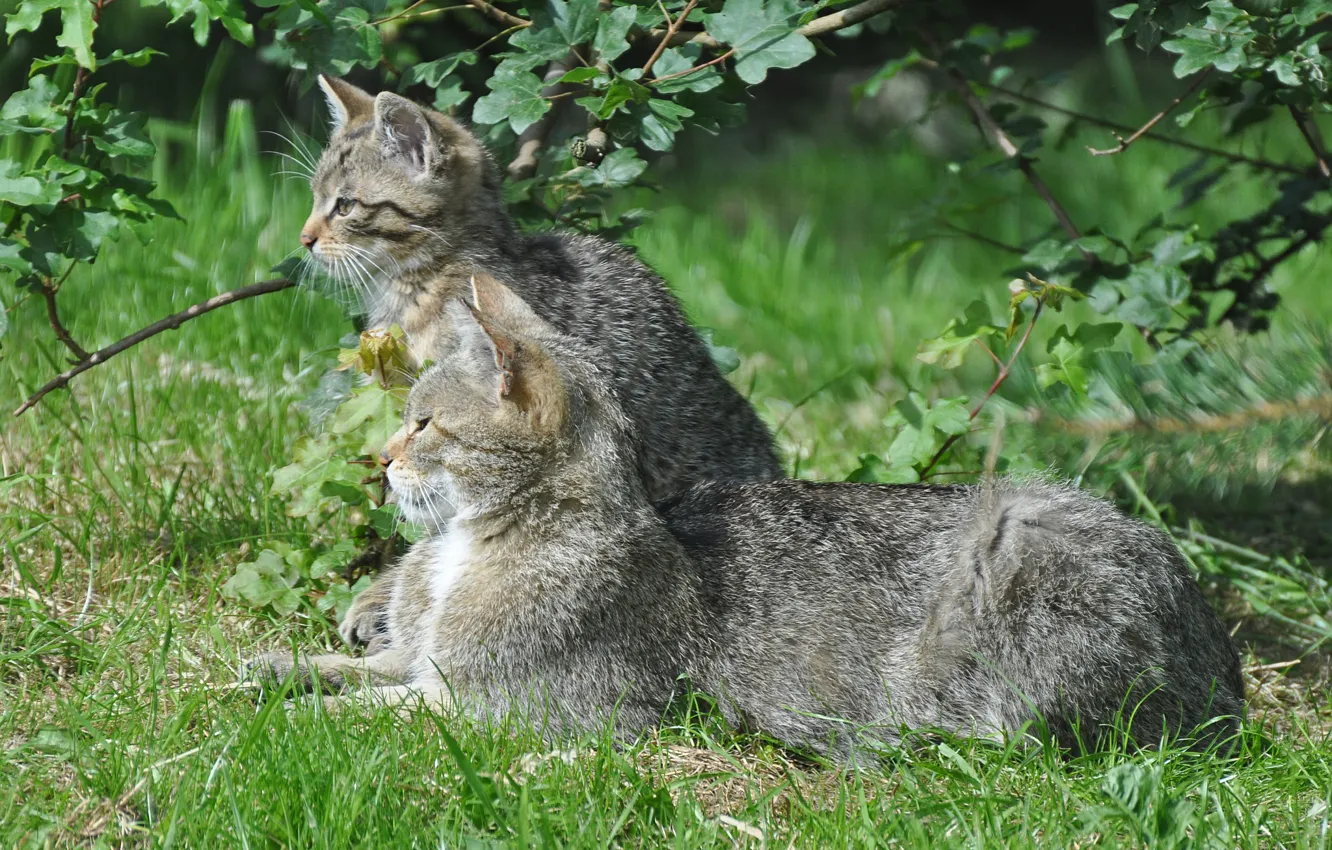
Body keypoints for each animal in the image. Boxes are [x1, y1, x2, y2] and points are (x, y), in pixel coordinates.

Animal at [245, 279, 1241, 756]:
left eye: (423, 423)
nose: (380, 461)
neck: (462, 554)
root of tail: (1225, 666)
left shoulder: (516, 707)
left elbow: (373, 710)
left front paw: (294, 720)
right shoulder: (424, 663)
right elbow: (353, 670)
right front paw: (270, 670)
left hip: (1019, 537)